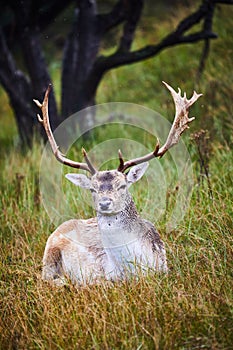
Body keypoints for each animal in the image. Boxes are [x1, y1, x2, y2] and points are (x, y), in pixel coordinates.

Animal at [33, 83, 202, 286]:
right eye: (92, 188)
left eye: (122, 186)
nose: (105, 203)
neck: (132, 270)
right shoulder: (99, 276)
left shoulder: (164, 268)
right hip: (49, 252)